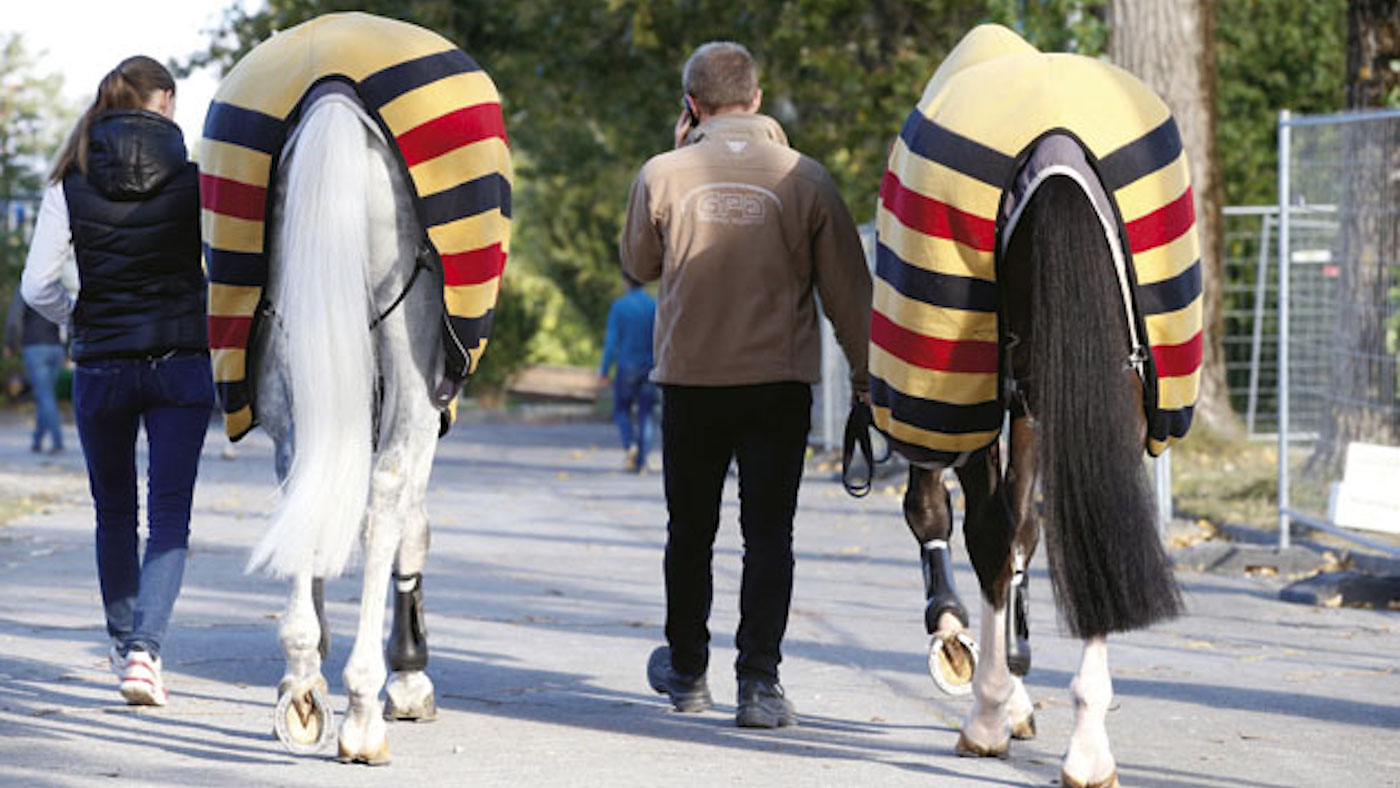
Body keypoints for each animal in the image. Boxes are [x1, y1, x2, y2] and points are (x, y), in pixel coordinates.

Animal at [200, 13, 510, 764]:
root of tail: (333, 86)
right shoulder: (432, 396)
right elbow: (410, 521)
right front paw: (408, 676)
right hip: (412, 358)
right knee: (387, 495)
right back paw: (365, 707)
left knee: (297, 470)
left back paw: (302, 682)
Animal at [862, 25, 1202, 787]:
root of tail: (1057, 147)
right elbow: (1023, 530)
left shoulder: (981, 408)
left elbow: (984, 528)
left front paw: (993, 694)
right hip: (1100, 383)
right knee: (1094, 522)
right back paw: (1088, 749)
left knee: (996, 530)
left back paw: (994, 717)